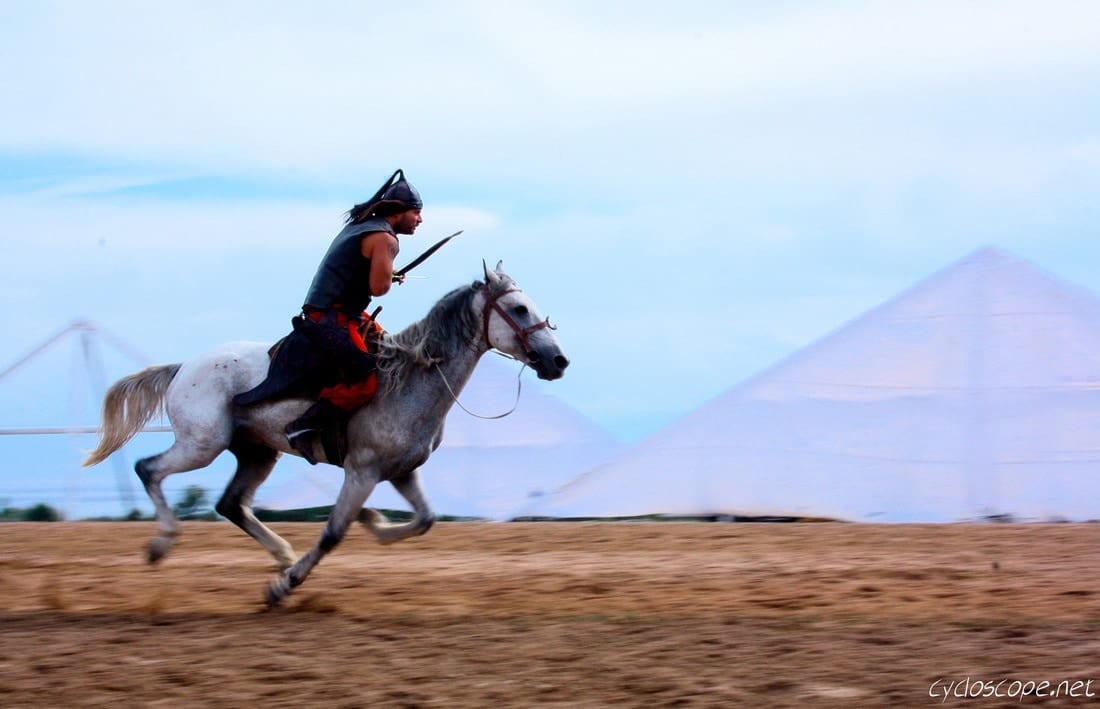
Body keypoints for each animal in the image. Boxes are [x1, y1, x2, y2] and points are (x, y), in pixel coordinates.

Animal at [81, 262, 572, 606]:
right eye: (518, 308)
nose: (558, 360)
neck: (409, 378)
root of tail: (185, 366)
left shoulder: (401, 472)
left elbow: (424, 520)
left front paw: (372, 522)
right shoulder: (362, 471)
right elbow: (333, 533)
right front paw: (283, 587)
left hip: (257, 453)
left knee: (230, 504)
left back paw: (280, 552)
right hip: (201, 445)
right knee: (149, 469)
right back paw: (163, 543)